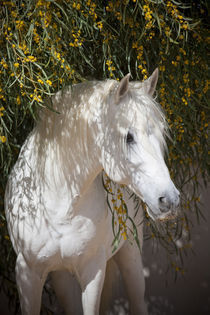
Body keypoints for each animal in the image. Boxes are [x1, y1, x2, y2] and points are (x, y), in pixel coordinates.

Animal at [4, 69, 179, 315]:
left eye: (162, 133)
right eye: (129, 136)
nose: (169, 200)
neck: (58, 206)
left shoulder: (93, 271)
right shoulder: (27, 273)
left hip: (130, 254)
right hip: (61, 276)